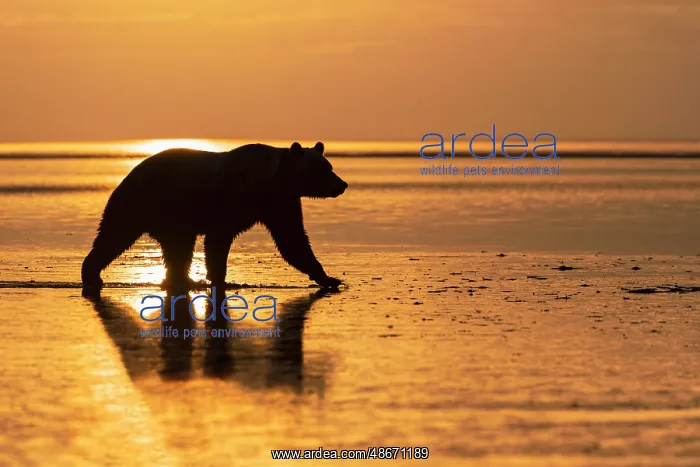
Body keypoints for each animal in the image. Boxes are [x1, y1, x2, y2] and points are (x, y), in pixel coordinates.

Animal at [81, 141, 347, 297]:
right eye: (323, 169)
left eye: (329, 166)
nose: (342, 184)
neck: (270, 182)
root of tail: (129, 173)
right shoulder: (232, 199)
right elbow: (218, 238)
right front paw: (219, 277)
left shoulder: (280, 204)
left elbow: (293, 239)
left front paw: (329, 278)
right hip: (147, 202)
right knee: (115, 235)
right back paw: (92, 274)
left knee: (176, 248)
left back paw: (183, 280)